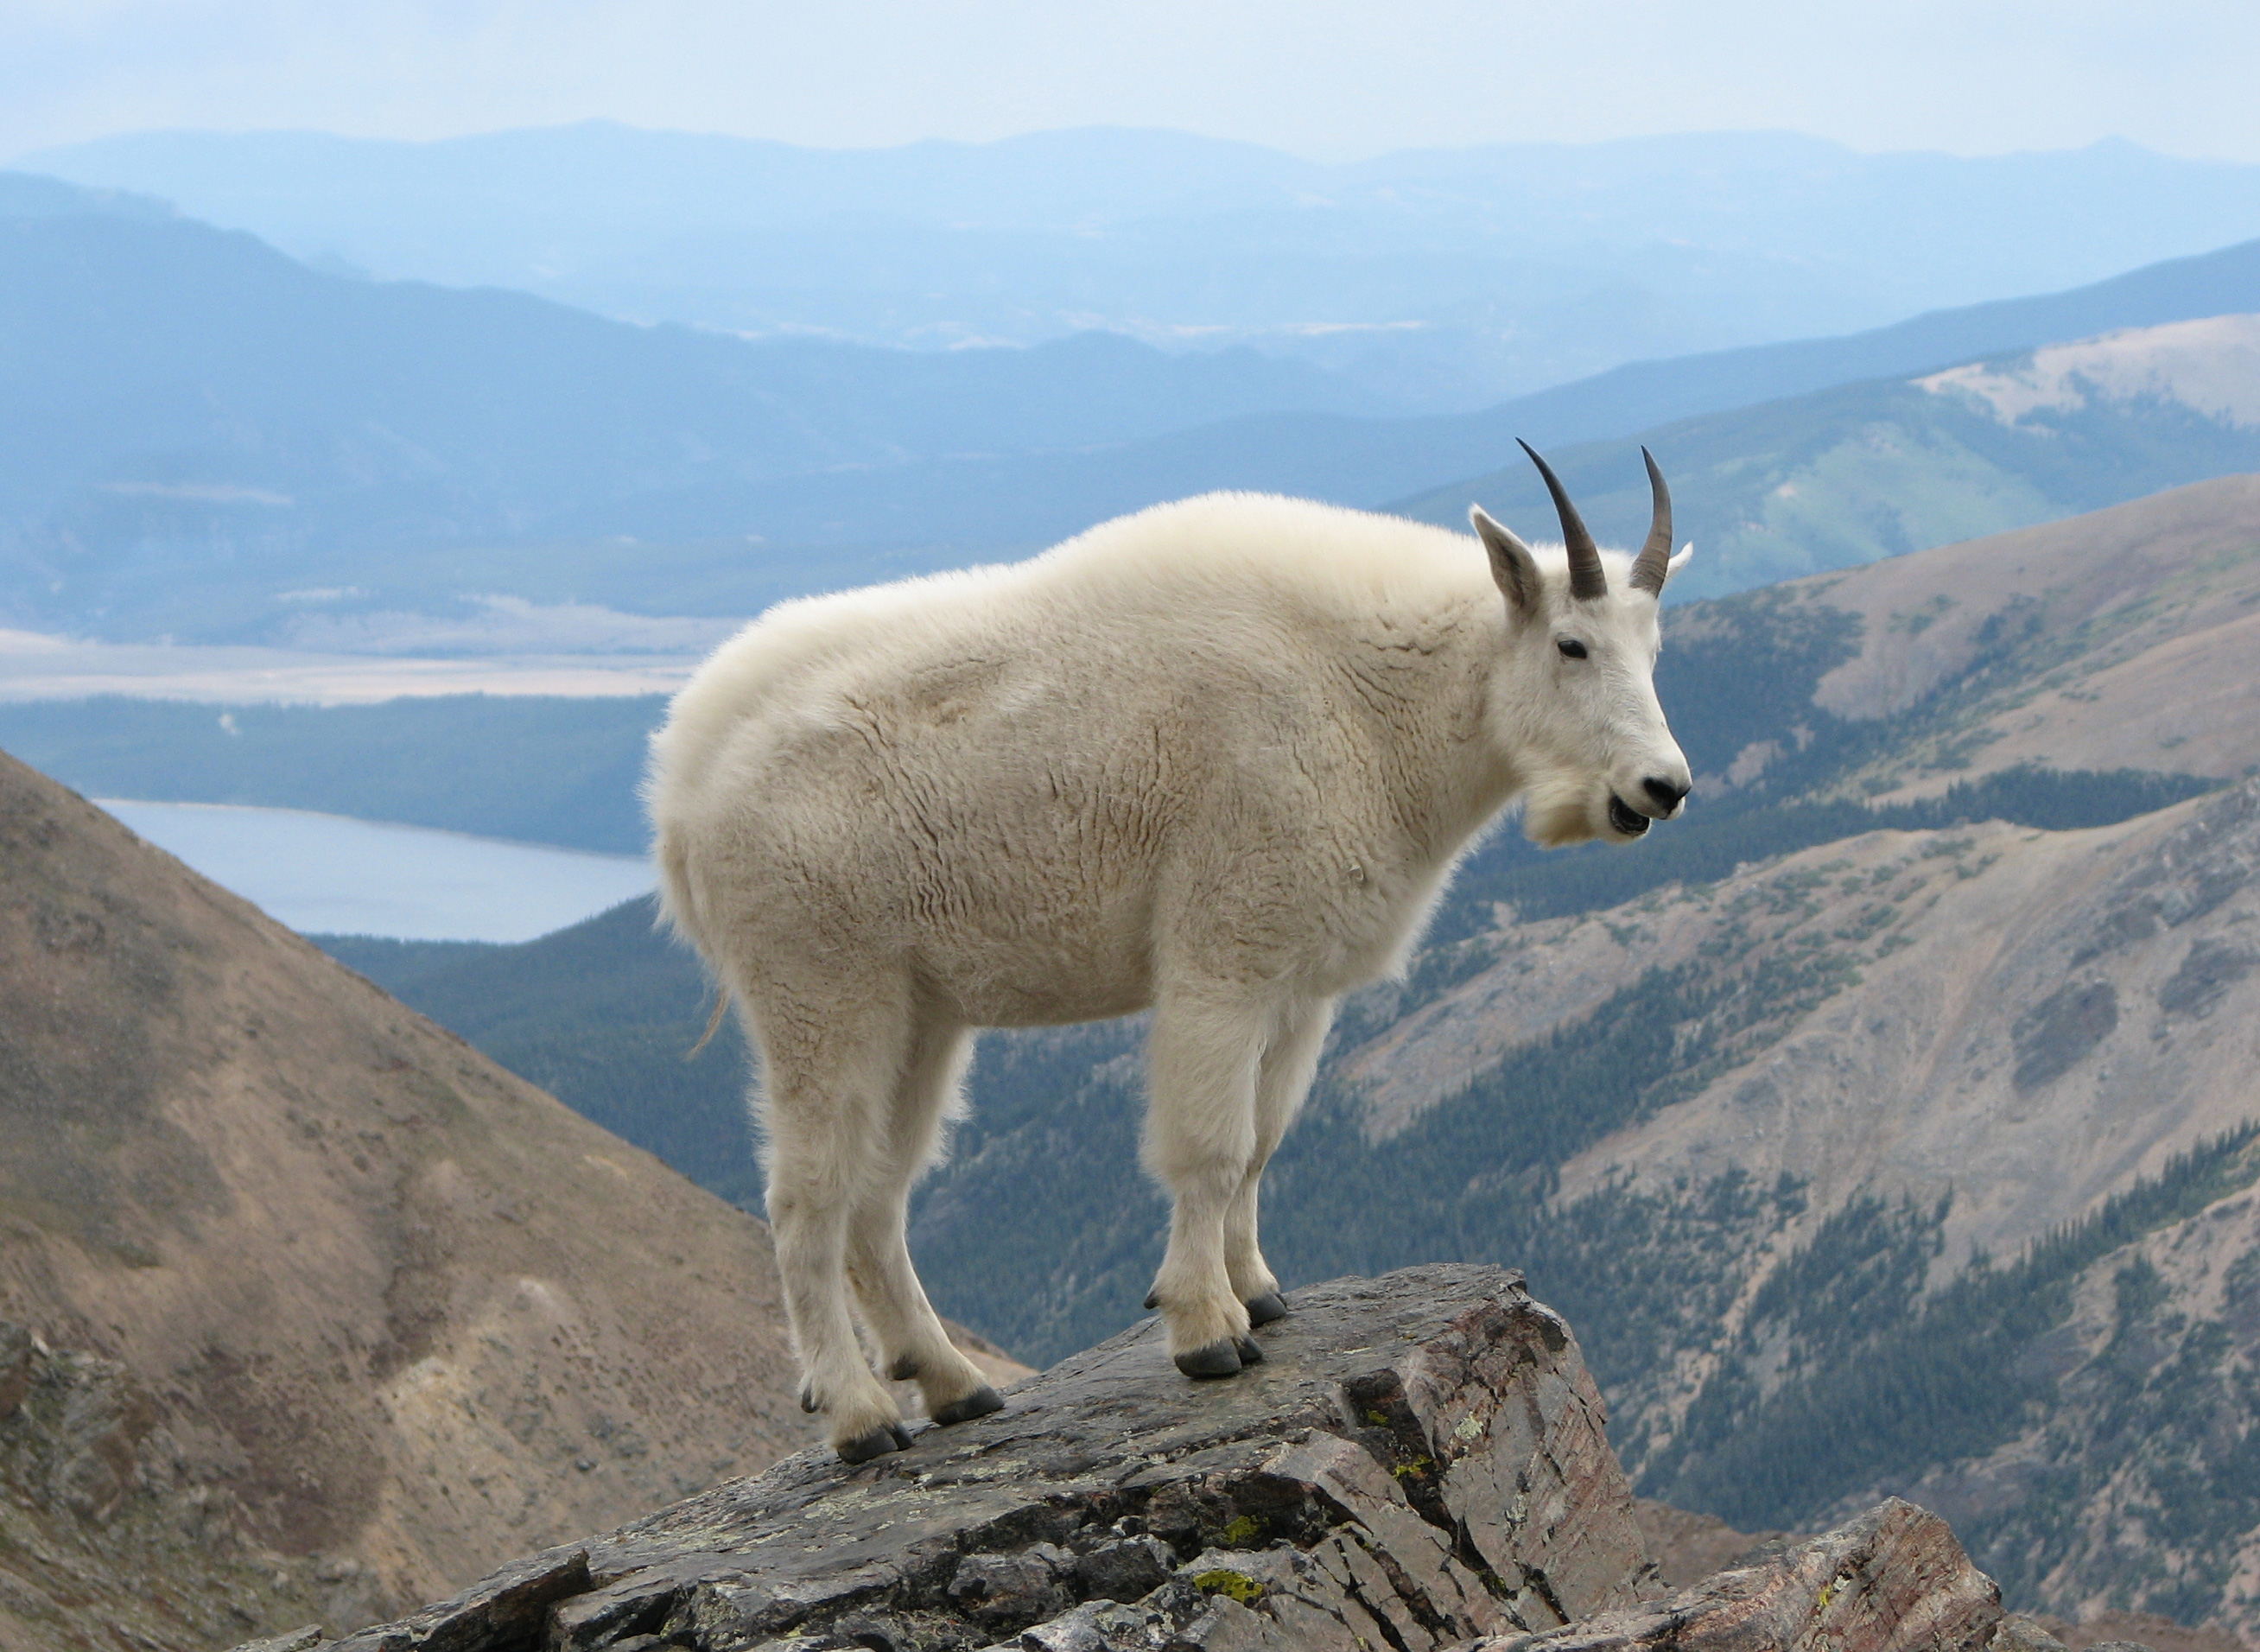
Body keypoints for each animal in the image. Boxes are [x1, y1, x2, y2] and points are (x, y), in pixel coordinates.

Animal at [646, 442, 1690, 1464]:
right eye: (1571, 645)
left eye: (1654, 651)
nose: (1663, 787)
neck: (1375, 695)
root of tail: (681, 787)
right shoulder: (1221, 956)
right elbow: (1211, 1146)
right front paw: (1207, 1330)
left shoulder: (1297, 986)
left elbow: (1263, 1142)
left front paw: (1260, 1290)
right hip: (819, 986)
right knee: (806, 1200)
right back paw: (860, 1415)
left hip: (919, 1012)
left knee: (877, 1198)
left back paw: (955, 1384)